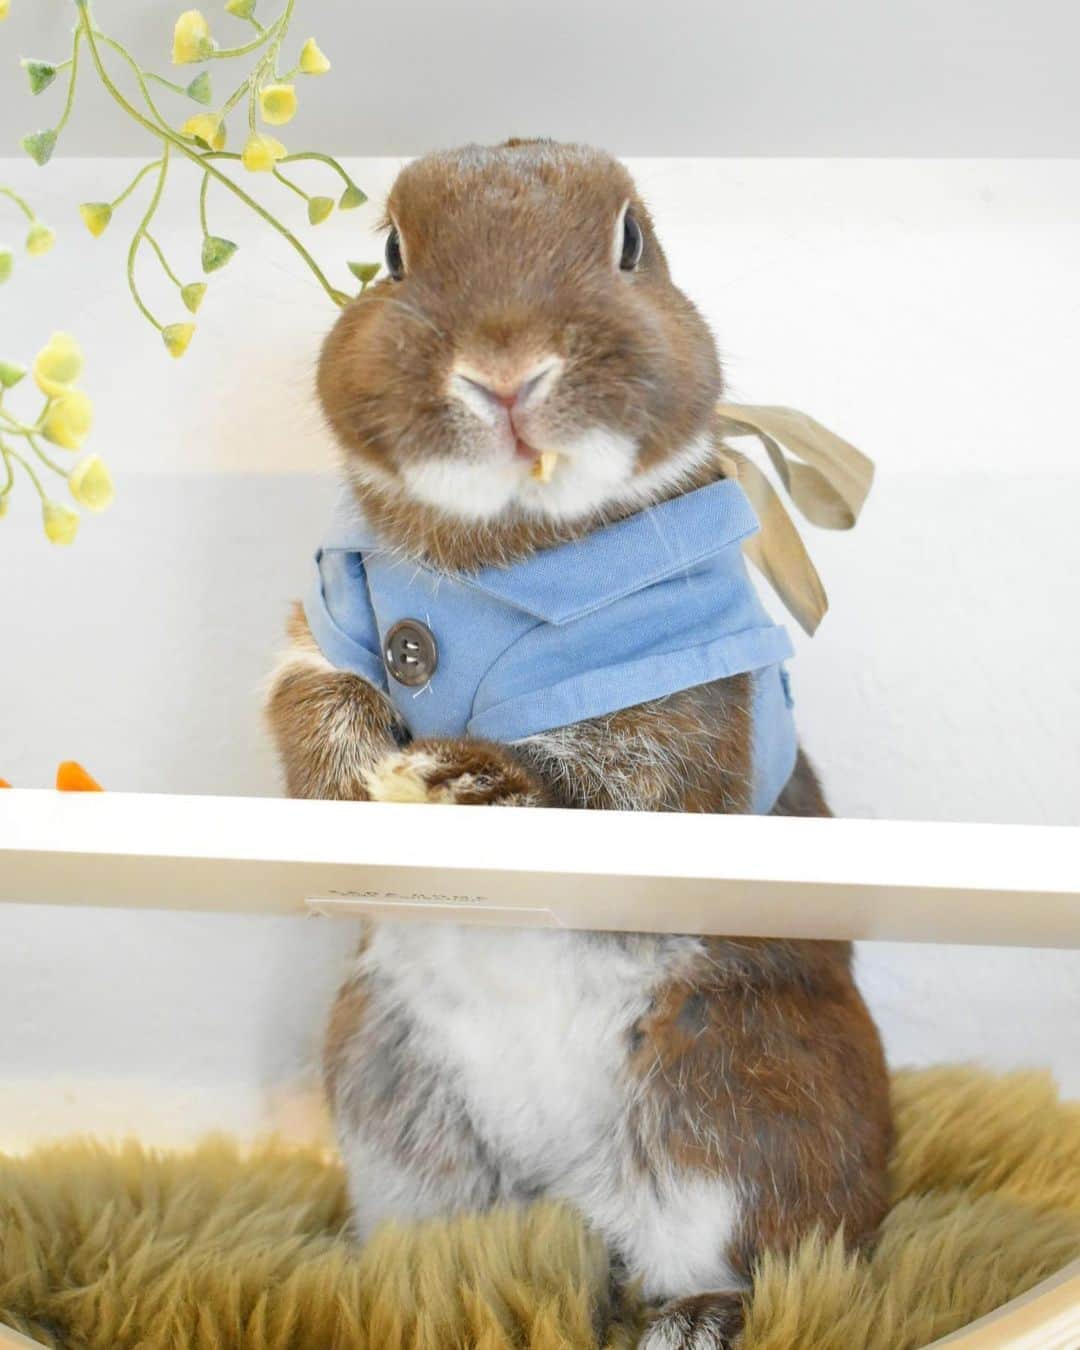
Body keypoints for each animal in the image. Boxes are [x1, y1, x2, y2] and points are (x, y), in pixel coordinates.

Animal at [266, 139, 892, 1349]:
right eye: (393, 254)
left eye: (630, 243)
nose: (506, 370)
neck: (508, 548)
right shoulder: (327, 624)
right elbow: (307, 704)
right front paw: (366, 784)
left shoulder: (680, 700)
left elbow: (625, 785)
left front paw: (469, 775)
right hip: (394, 1113)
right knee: (468, 1244)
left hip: (733, 1106)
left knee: (759, 1257)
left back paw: (684, 1323)